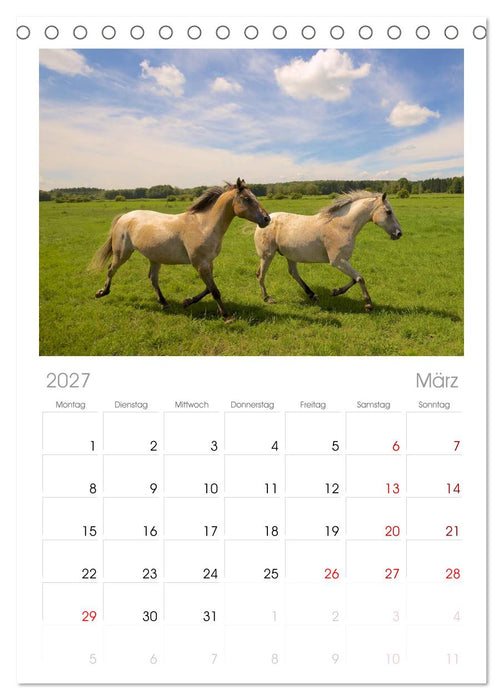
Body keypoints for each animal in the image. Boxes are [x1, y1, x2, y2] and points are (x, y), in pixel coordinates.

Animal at [90, 178, 270, 322]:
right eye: (247, 198)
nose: (267, 219)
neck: (203, 225)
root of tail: (124, 217)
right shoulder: (200, 264)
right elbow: (214, 290)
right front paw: (226, 316)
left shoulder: (207, 263)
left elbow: (208, 288)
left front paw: (186, 302)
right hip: (122, 253)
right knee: (111, 269)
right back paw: (102, 292)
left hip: (155, 258)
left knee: (153, 278)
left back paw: (164, 303)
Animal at [254, 190, 403, 311]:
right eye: (388, 211)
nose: (399, 233)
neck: (341, 226)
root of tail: (266, 219)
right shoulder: (337, 261)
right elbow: (360, 278)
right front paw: (368, 304)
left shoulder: (343, 260)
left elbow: (354, 278)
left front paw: (335, 292)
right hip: (267, 255)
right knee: (261, 275)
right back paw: (267, 298)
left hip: (290, 256)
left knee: (293, 273)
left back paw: (312, 295)